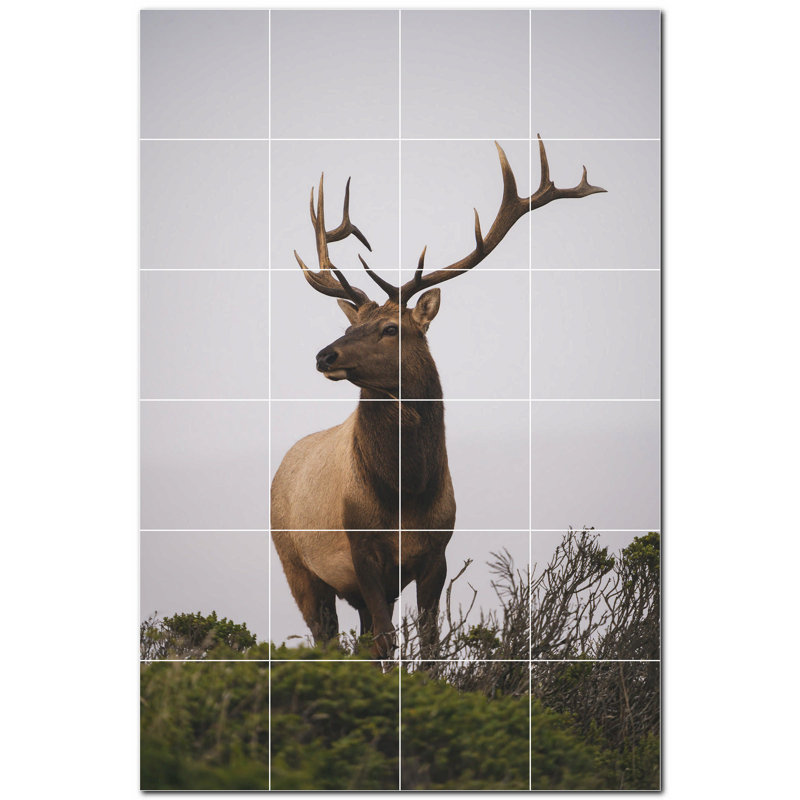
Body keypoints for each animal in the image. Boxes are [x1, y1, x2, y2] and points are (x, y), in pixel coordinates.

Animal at [271, 137, 605, 658]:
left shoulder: (437, 552)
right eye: (351, 324)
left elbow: (429, 642)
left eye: (392, 328)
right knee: (327, 637)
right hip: (295, 563)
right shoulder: (362, 550)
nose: (325, 355)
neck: (406, 496)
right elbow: (386, 641)